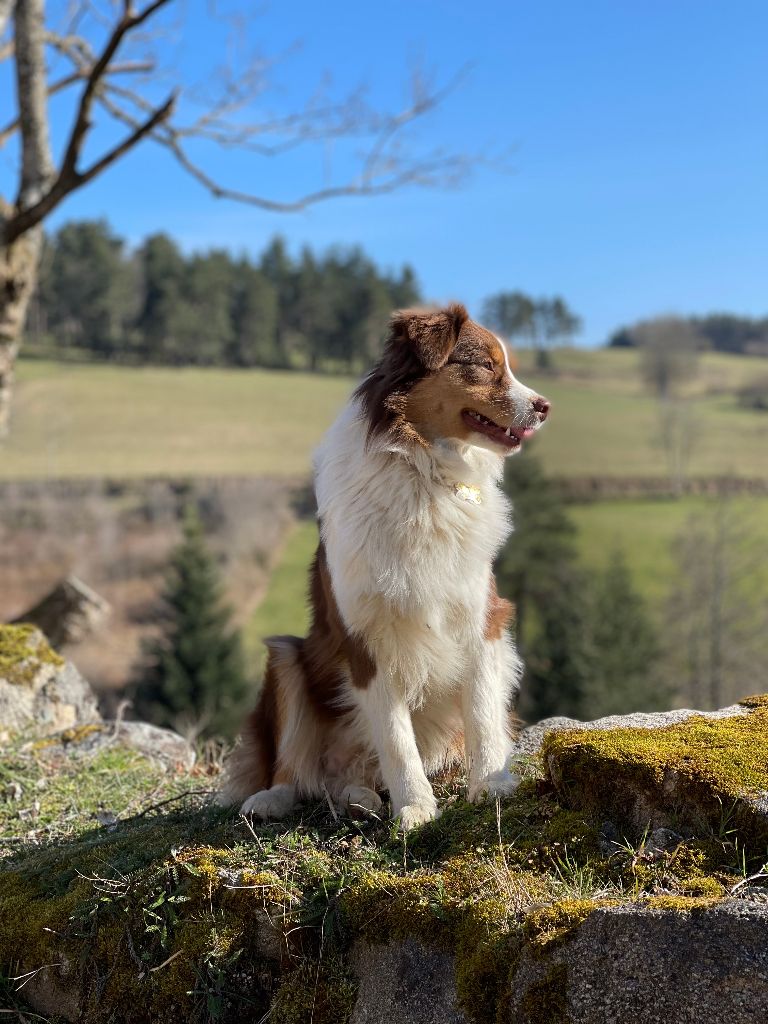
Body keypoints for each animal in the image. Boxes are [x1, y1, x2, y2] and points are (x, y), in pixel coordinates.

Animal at [219, 299, 548, 827]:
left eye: (510, 366)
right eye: (484, 365)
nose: (545, 406)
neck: (422, 469)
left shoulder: (482, 620)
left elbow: (481, 712)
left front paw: (492, 786)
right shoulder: (365, 640)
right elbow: (396, 738)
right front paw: (414, 807)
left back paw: (363, 796)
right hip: (286, 657)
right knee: (298, 768)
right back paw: (277, 798)